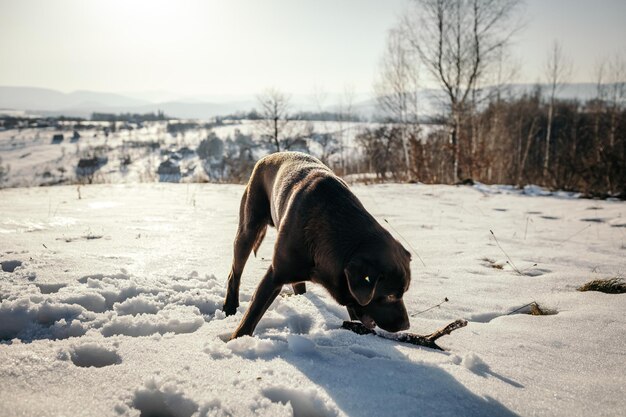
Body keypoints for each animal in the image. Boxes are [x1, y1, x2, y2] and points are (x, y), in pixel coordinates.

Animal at [223, 151, 410, 340]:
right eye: (389, 296)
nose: (406, 325)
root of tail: (268, 156)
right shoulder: (275, 274)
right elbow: (253, 314)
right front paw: (236, 340)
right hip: (248, 229)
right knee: (234, 274)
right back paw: (230, 308)